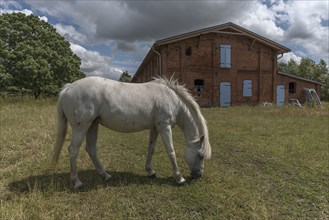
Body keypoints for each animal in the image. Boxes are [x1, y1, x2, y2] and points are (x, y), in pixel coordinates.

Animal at [52, 76, 211, 188]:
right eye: (200, 155)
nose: (199, 175)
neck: (172, 99)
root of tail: (68, 88)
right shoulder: (164, 127)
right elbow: (171, 152)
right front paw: (180, 178)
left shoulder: (155, 128)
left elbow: (151, 149)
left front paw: (150, 171)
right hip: (81, 127)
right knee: (73, 150)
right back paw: (77, 182)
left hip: (92, 125)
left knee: (91, 149)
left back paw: (105, 175)